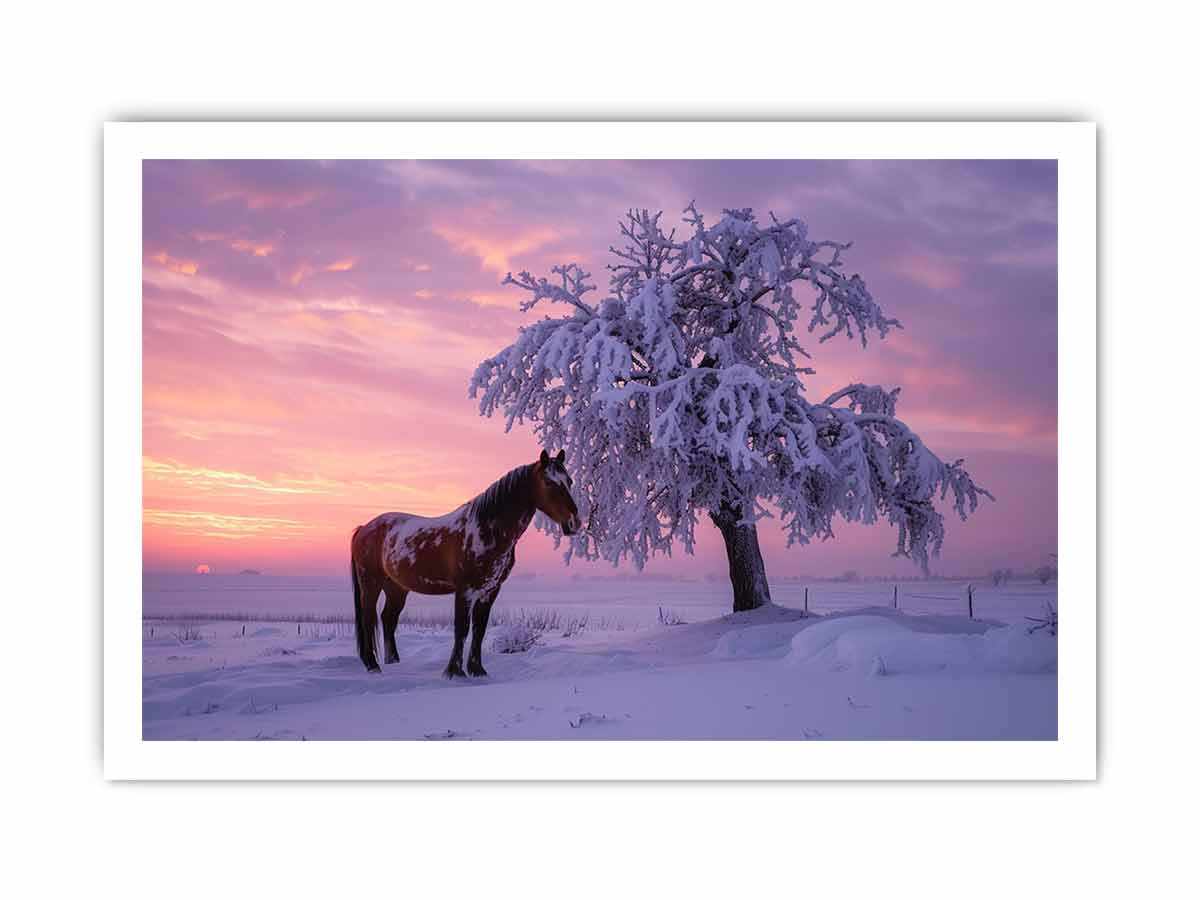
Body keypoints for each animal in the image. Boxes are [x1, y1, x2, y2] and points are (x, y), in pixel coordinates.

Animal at [350, 449, 581, 677]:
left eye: (569, 481)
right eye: (549, 482)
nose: (574, 523)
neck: (486, 530)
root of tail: (364, 528)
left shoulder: (490, 590)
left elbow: (479, 629)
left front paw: (477, 670)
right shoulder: (465, 590)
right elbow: (461, 628)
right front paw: (454, 672)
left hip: (397, 588)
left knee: (388, 619)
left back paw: (393, 662)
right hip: (371, 584)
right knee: (368, 618)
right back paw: (372, 665)